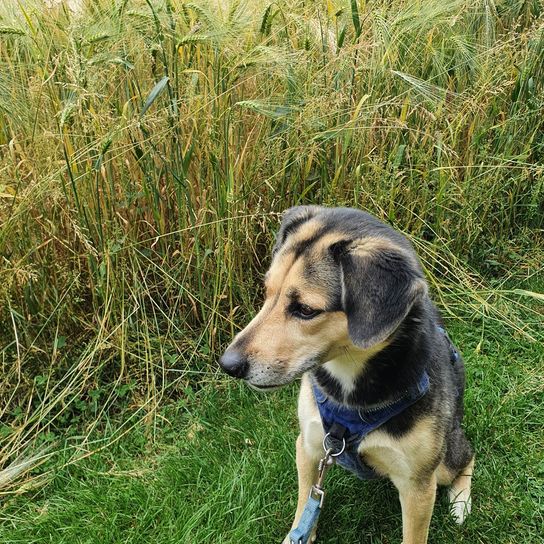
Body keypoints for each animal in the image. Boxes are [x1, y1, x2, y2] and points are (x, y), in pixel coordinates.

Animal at [219, 206, 474, 540]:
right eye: (266, 292)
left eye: (305, 309)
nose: (228, 364)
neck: (348, 389)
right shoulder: (309, 446)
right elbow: (304, 506)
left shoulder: (418, 485)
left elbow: (414, 537)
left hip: (443, 462)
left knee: (468, 455)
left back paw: (461, 501)